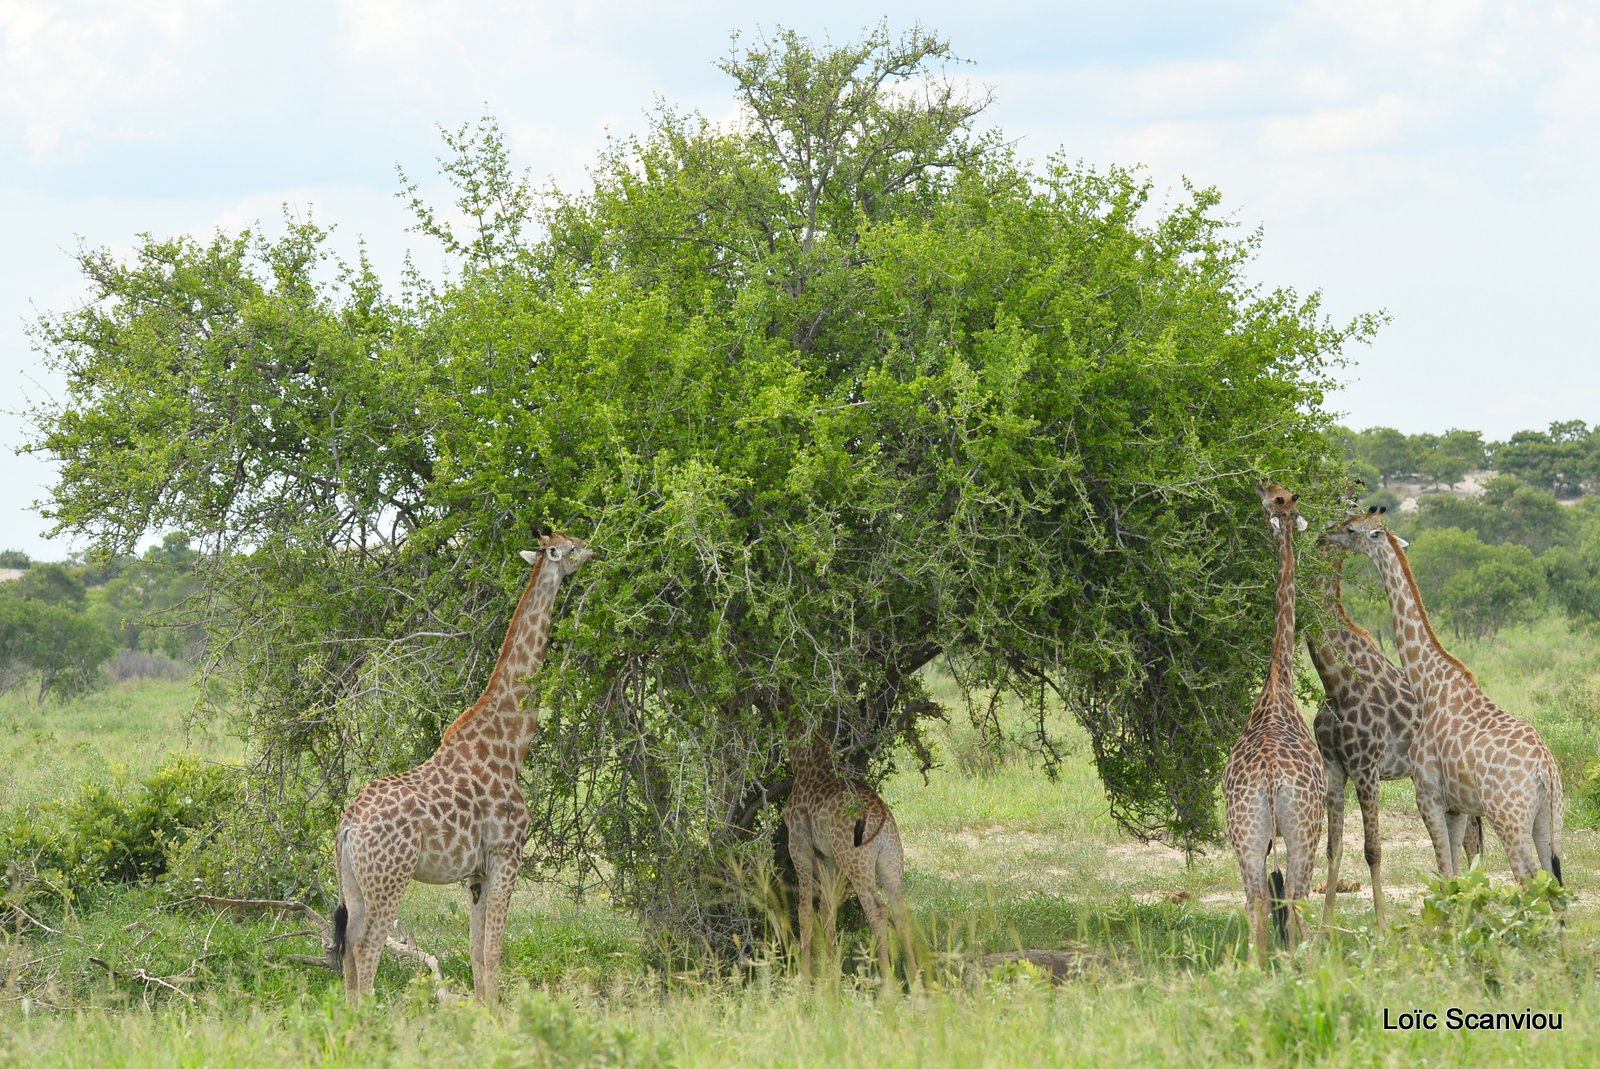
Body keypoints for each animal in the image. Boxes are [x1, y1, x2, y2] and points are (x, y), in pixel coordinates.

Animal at [329, 528, 595, 1004]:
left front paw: (485, 1013)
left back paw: (350, 1017)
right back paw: (372, 1016)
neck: (510, 744)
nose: (596, 549)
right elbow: (494, 951)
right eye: (569, 547)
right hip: (391, 878)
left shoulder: (476, 873)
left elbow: (475, 955)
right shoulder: (508, 854)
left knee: (347, 948)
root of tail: (348, 824)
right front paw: (500, 1017)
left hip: (353, 883)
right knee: (366, 947)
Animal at [784, 729, 921, 992]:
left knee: (878, 911)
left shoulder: (799, 847)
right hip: (890, 864)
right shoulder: (827, 859)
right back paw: (916, 980)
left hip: (857, 865)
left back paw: (887, 984)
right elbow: (827, 911)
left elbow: (805, 911)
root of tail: (882, 820)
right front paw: (831, 975)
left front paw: (804, 979)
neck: (804, 758)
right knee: (900, 913)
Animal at [1312, 550, 1484, 928]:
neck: (1338, 680)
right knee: (1468, 838)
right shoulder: (1334, 766)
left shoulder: (1367, 768)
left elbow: (1372, 849)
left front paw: (1382, 925)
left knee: (1472, 840)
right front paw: (1325, 927)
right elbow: (1334, 847)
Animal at [1324, 505, 1561, 889]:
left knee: (1527, 880)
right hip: (1550, 821)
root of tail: (1546, 771)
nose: (1327, 533)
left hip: (1508, 818)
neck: (1430, 686)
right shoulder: (1456, 807)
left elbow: (1446, 872)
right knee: (1553, 884)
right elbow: (1454, 873)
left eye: (1352, 529)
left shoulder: (1428, 796)